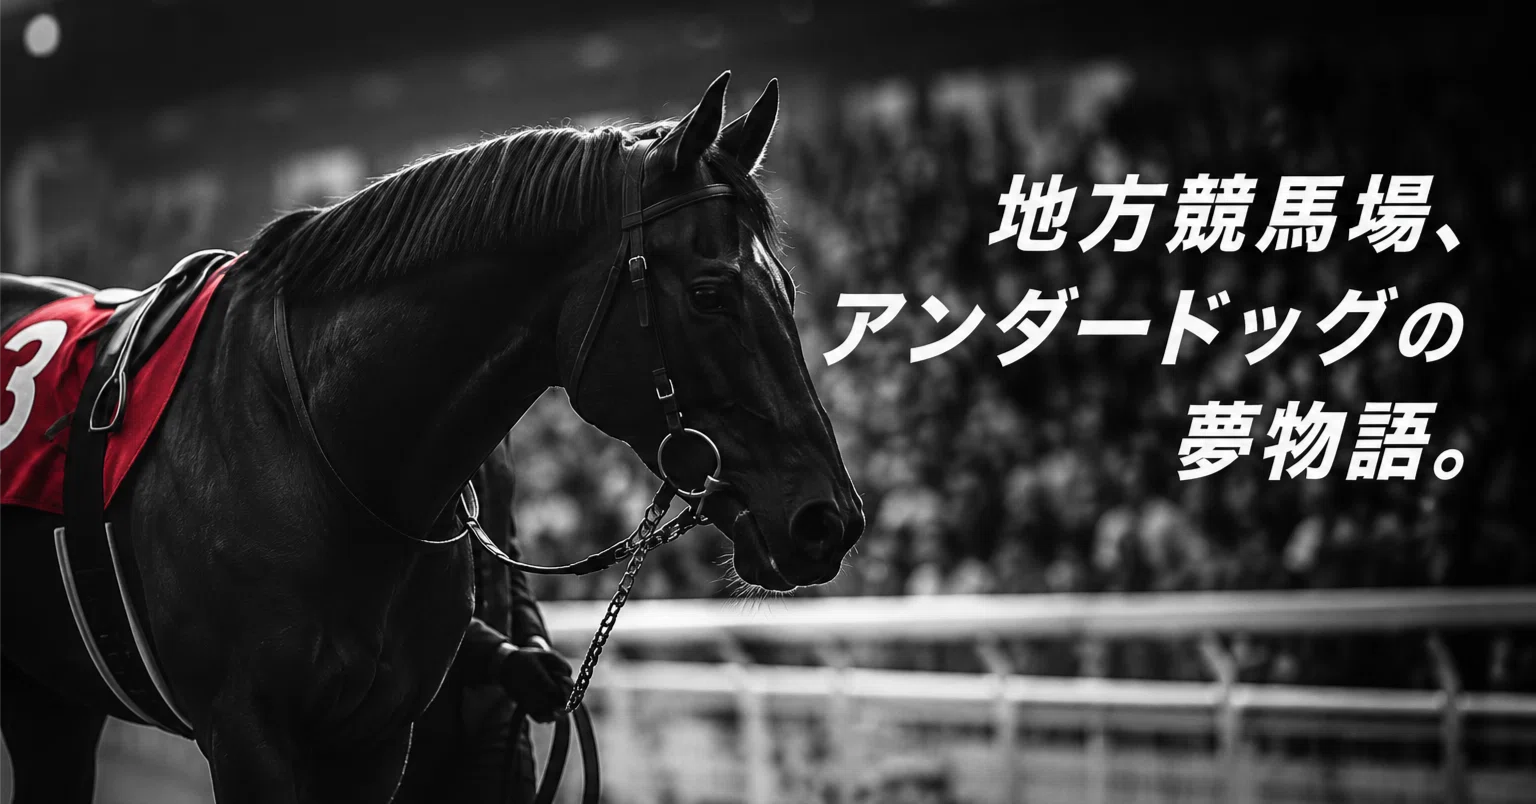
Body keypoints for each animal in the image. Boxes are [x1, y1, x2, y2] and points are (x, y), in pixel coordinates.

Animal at [0, 70, 863, 803]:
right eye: (711, 293)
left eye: (789, 288)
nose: (830, 520)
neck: (313, 451)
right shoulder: (248, 732)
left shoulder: (376, 738)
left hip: (51, 694)